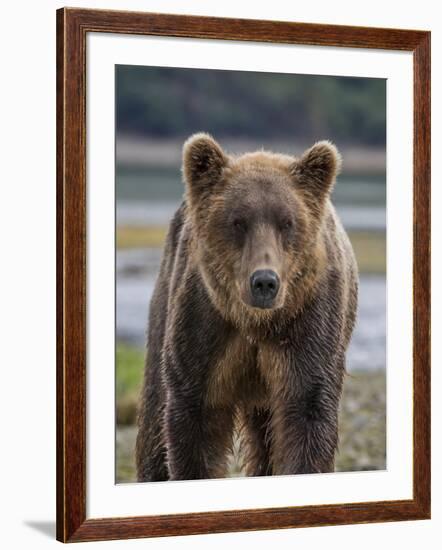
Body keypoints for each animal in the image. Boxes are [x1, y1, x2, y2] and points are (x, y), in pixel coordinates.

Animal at [136, 134, 360, 484]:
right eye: (238, 221)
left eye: (287, 222)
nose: (264, 282)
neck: (255, 323)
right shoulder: (205, 325)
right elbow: (194, 418)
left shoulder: (308, 325)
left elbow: (307, 413)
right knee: (154, 410)